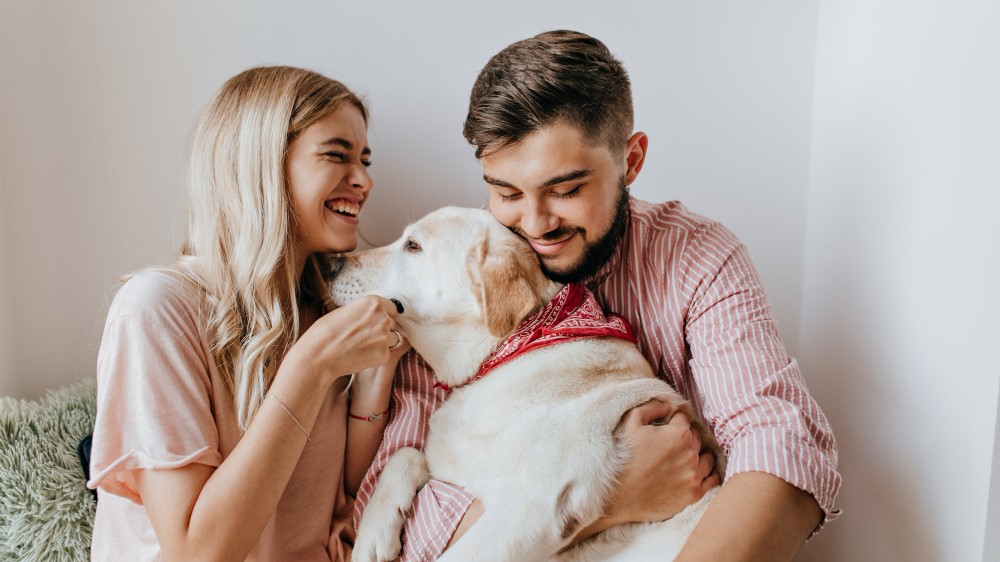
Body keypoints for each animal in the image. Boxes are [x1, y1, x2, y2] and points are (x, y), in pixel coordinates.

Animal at [332, 207, 724, 560]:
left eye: (413, 245)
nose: (332, 263)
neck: (508, 350)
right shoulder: (449, 464)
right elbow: (405, 453)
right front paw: (372, 535)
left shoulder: (533, 507)